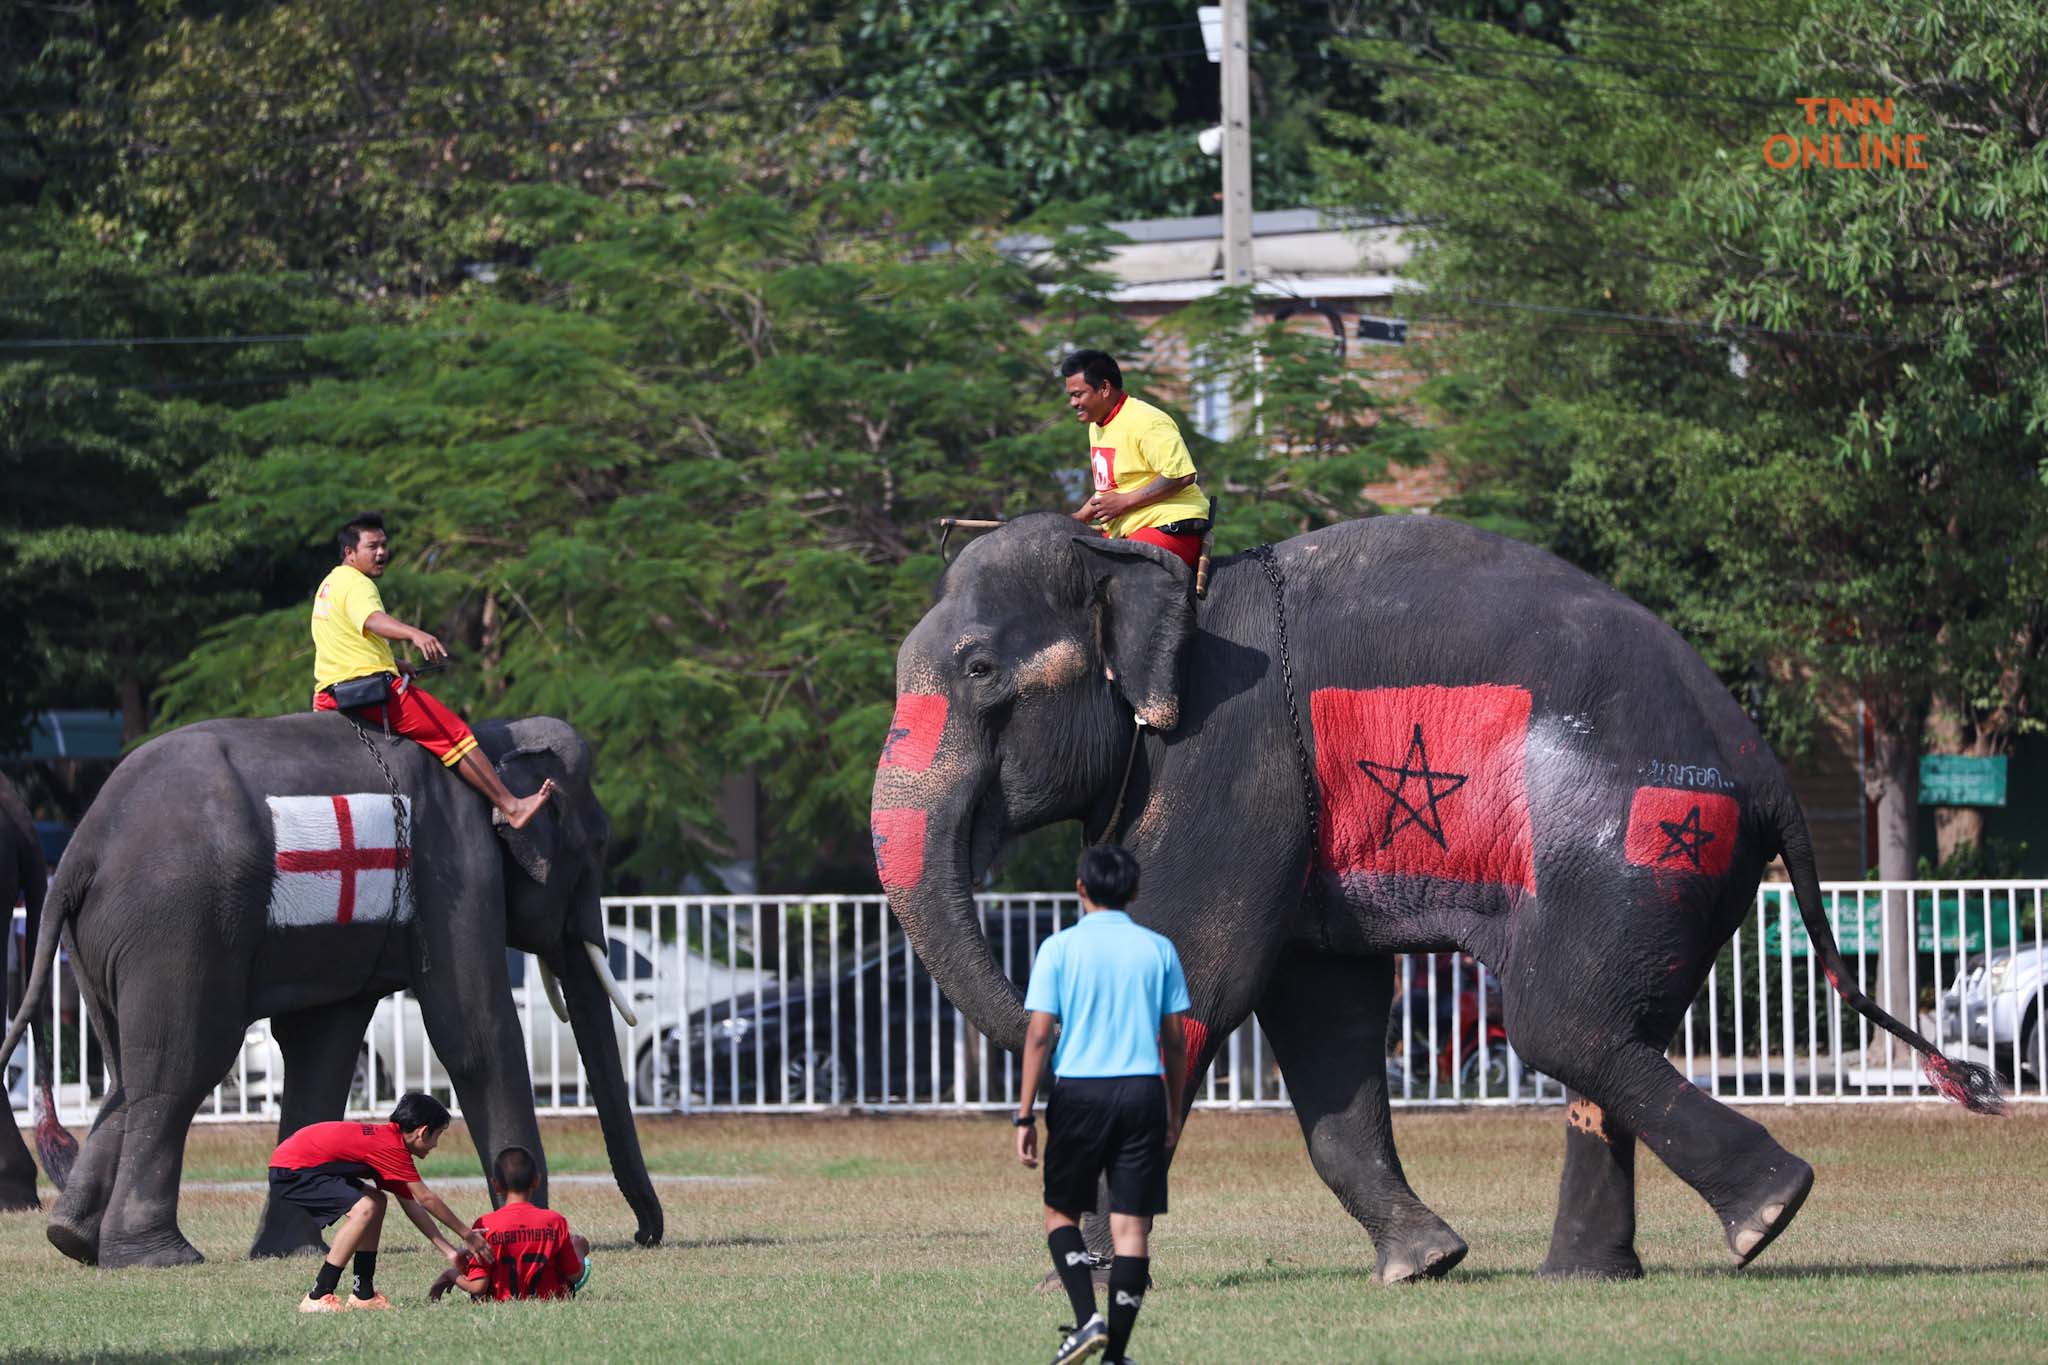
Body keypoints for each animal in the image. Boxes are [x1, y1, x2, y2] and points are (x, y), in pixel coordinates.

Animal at [0, 716, 659, 1268]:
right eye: (599, 844)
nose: (644, 1235)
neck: (494, 738)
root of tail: (81, 851)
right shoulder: (456, 870)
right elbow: (474, 1033)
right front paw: (521, 1228)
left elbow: (324, 1050)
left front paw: (288, 1251)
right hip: (177, 927)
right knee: (182, 1069)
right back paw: (160, 1257)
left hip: (111, 941)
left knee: (127, 1075)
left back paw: (73, 1239)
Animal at [872, 509, 2007, 1285]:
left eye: (980, 668)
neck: (1144, 572)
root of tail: (1766, 770)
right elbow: (1320, 1011)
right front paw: (1423, 1262)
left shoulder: (1228, 757)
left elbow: (1198, 973)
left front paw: (1099, 1276)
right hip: (1671, 865)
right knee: (1604, 1029)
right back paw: (1593, 1274)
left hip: (1635, 834)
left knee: (1561, 1021)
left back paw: (1767, 1216)